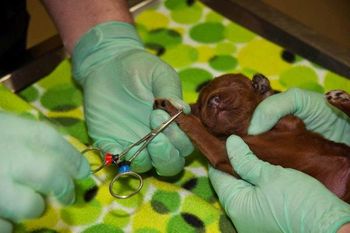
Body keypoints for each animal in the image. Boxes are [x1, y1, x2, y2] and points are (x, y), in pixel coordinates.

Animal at [154, 73, 350, 202]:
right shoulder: (222, 151)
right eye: (201, 105)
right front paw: (173, 109)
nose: (213, 101)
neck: (246, 131)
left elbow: (198, 128)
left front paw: (171, 108)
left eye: (235, 84)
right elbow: (200, 129)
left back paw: (340, 99)